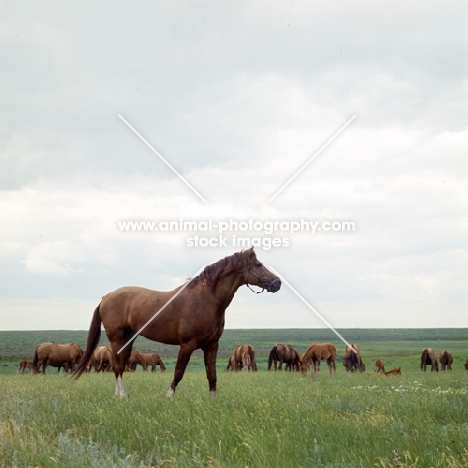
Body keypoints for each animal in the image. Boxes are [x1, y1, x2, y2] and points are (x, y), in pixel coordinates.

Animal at [72, 247, 278, 396]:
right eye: (259, 264)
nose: (277, 283)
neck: (206, 299)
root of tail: (105, 297)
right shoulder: (187, 345)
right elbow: (178, 372)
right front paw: (168, 397)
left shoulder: (212, 345)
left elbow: (212, 375)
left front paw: (213, 401)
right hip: (116, 338)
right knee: (116, 365)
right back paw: (122, 396)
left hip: (128, 339)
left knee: (120, 365)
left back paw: (118, 394)